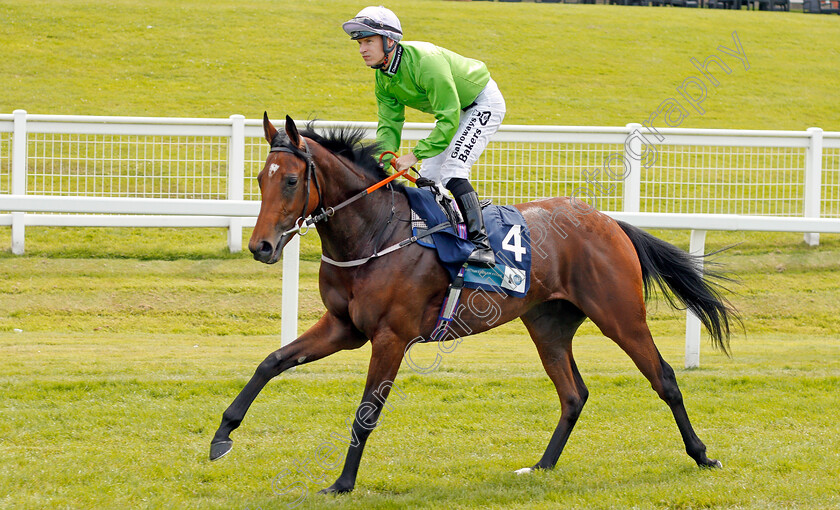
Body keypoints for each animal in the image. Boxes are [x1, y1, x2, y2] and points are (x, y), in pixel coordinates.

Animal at [210, 113, 736, 496]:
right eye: (259, 178)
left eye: (292, 180)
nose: (260, 246)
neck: (375, 233)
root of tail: (608, 220)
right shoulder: (345, 327)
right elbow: (271, 361)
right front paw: (222, 435)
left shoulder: (391, 337)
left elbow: (365, 413)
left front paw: (342, 483)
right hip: (547, 324)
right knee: (573, 394)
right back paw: (542, 465)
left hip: (621, 315)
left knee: (664, 378)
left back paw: (702, 454)